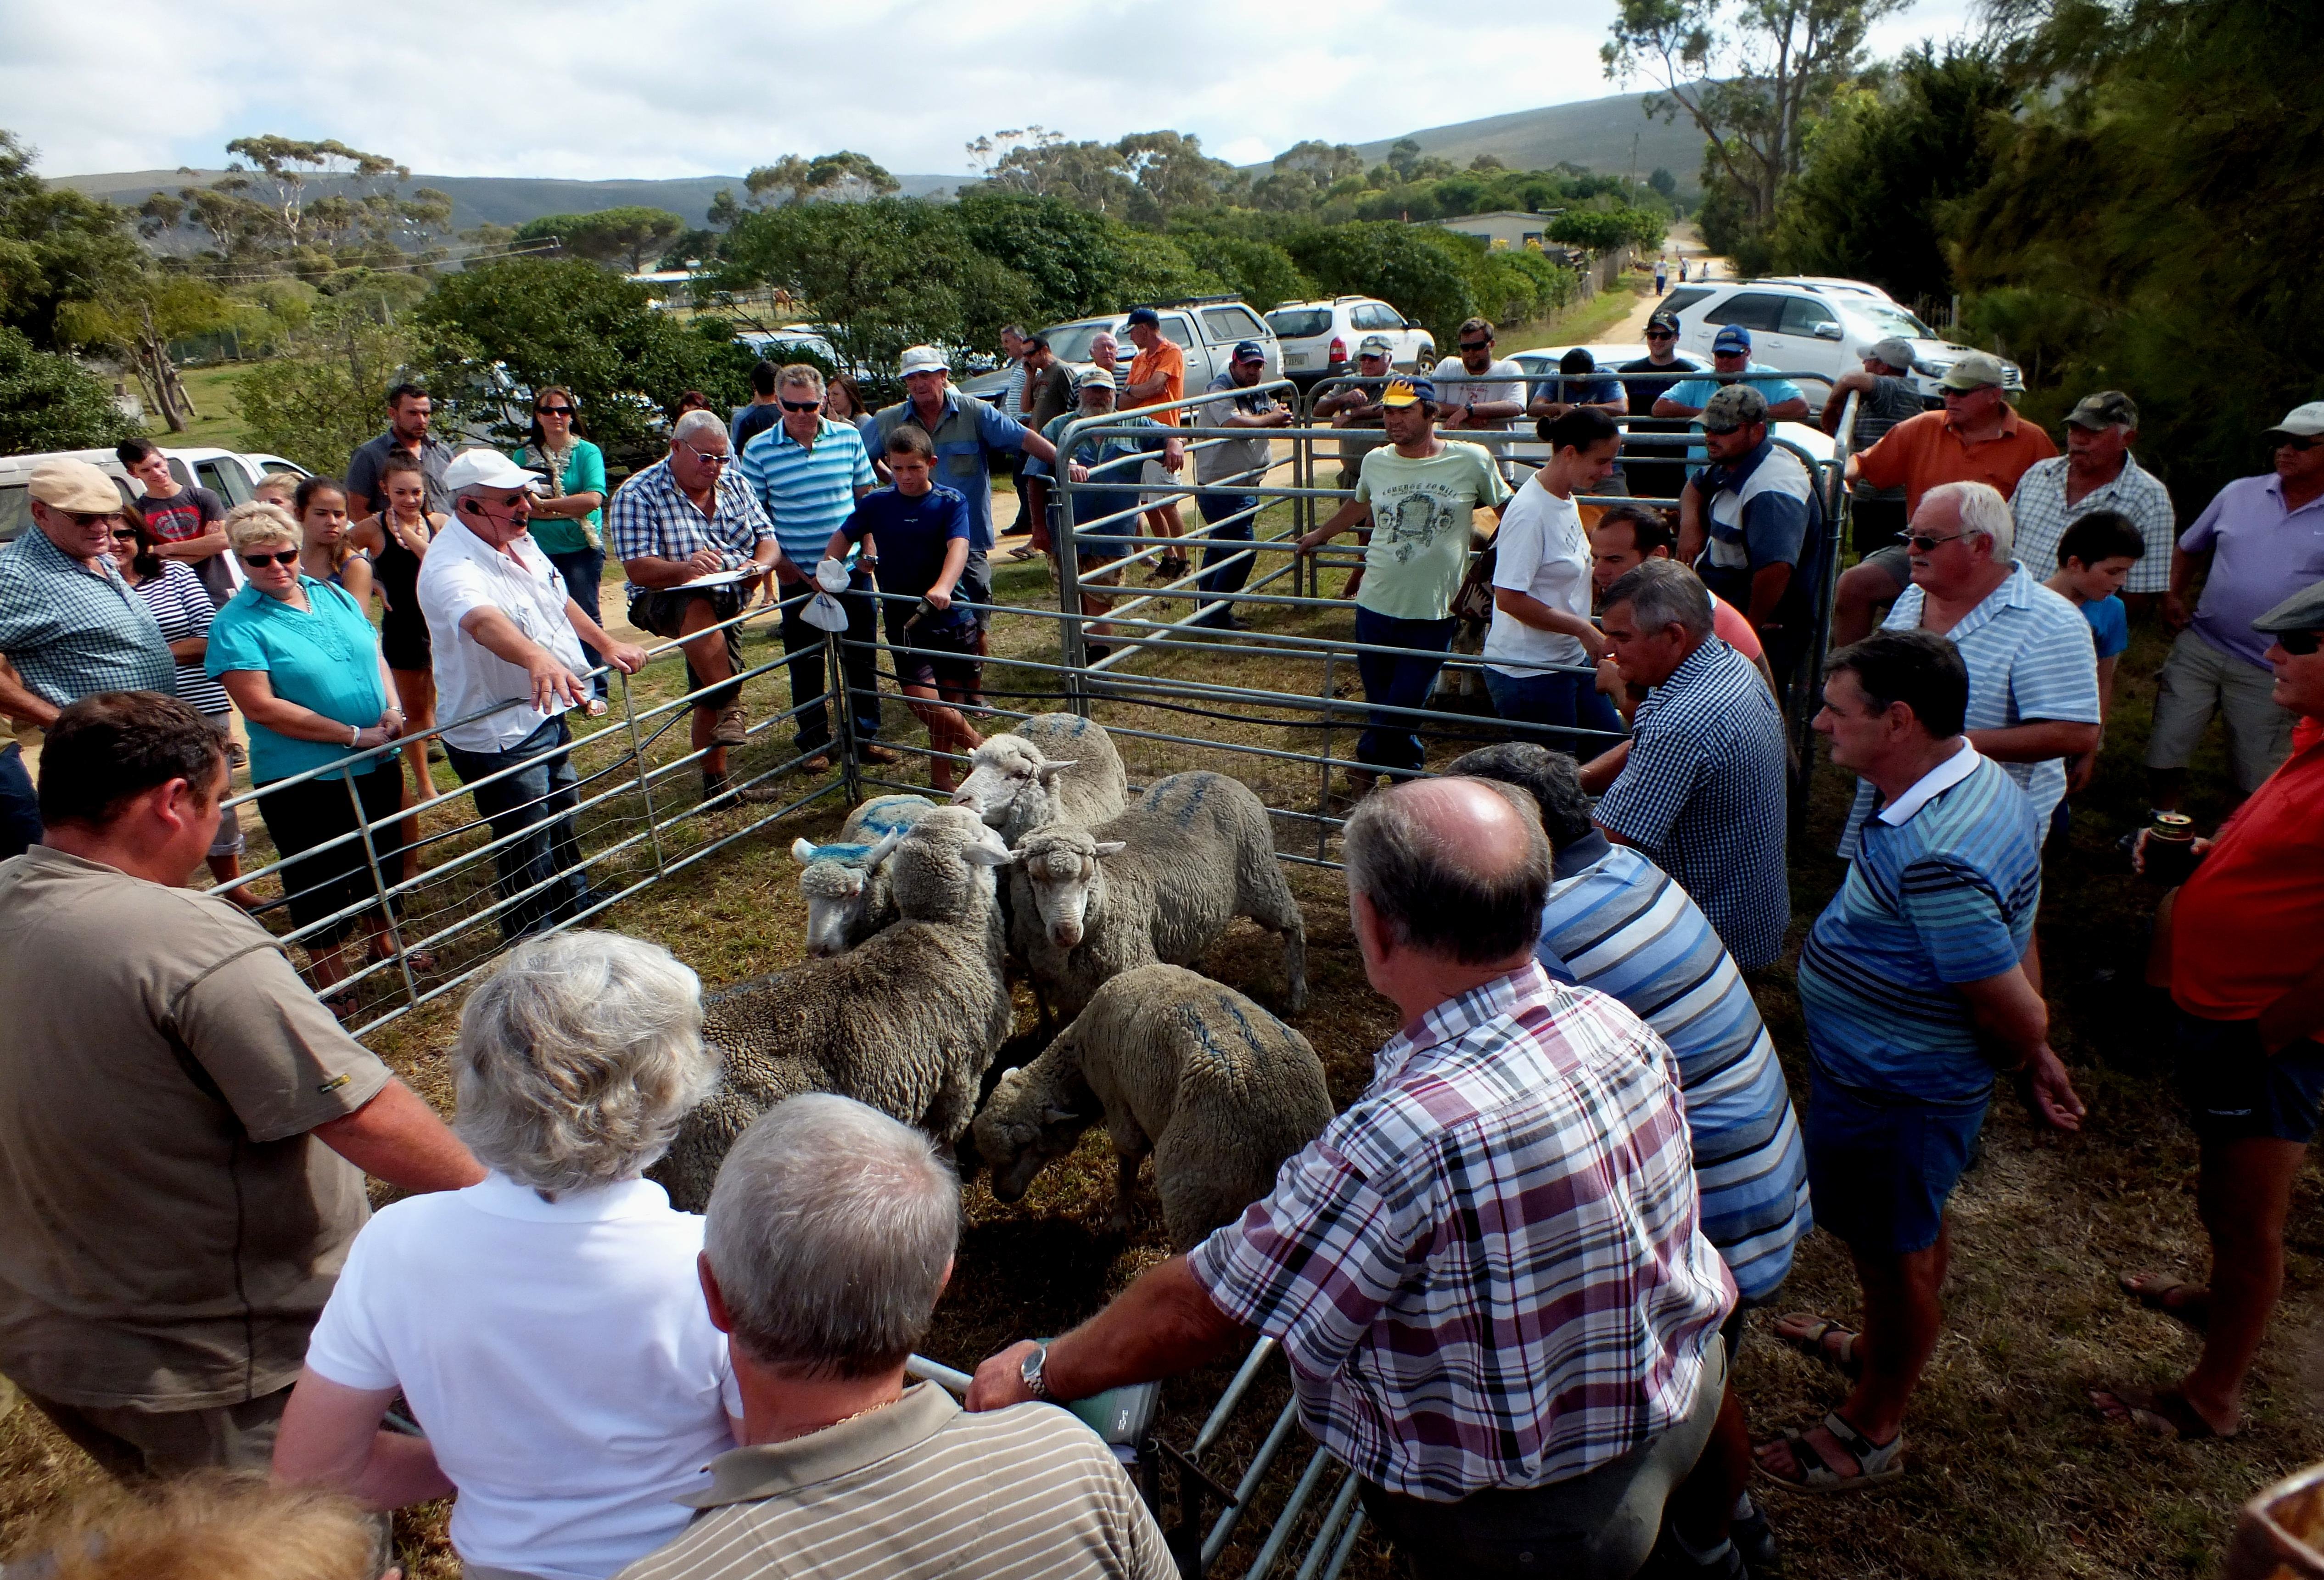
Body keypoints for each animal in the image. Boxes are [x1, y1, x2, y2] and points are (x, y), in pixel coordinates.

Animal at [976, 962, 1338, 1245]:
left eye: (1024, 1145)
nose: (1001, 1196)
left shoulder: (1118, 1099)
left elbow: (1127, 1160)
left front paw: (1119, 1222)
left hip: (1197, 1202)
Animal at [999, 767, 1310, 1018]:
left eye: (1088, 877)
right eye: (1034, 877)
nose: (1067, 932)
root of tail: (1215, 775)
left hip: (1261, 877)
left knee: (1294, 926)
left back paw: (1296, 996)